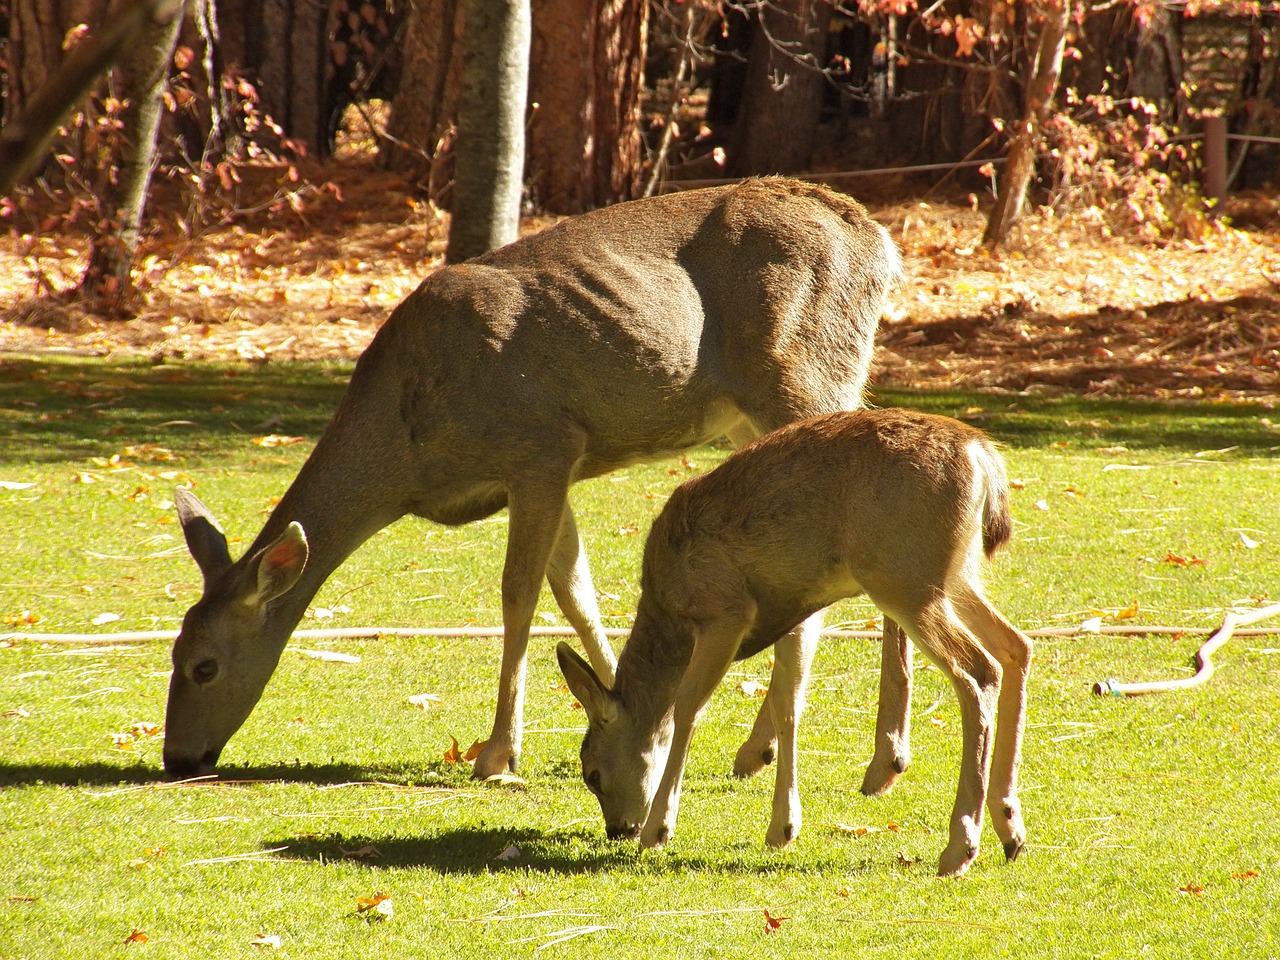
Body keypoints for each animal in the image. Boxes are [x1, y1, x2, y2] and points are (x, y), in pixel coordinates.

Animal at [160, 176, 901, 783]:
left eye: (204, 666)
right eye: (170, 650)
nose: (177, 758)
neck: (408, 448)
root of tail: (881, 246)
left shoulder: (538, 445)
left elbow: (519, 595)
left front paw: (497, 753)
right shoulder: (557, 467)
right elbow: (577, 593)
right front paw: (616, 706)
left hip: (806, 374)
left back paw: (853, 753)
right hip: (761, 414)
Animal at [560, 407, 1029, 880]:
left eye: (592, 773)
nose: (617, 829)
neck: (668, 612)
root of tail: (982, 457)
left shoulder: (725, 609)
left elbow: (689, 705)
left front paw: (660, 828)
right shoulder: (799, 609)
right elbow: (788, 702)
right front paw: (782, 827)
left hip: (905, 577)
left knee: (978, 671)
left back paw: (960, 847)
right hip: (952, 576)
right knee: (1016, 646)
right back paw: (1010, 828)